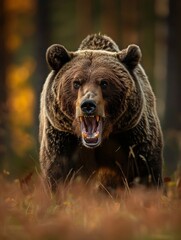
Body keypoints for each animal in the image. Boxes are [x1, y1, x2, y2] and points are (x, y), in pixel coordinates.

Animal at [39, 33, 164, 191]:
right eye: (76, 83)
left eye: (104, 83)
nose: (88, 105)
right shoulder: (61, 141)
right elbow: (56, 175)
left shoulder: (134, 139)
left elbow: (146, 173)